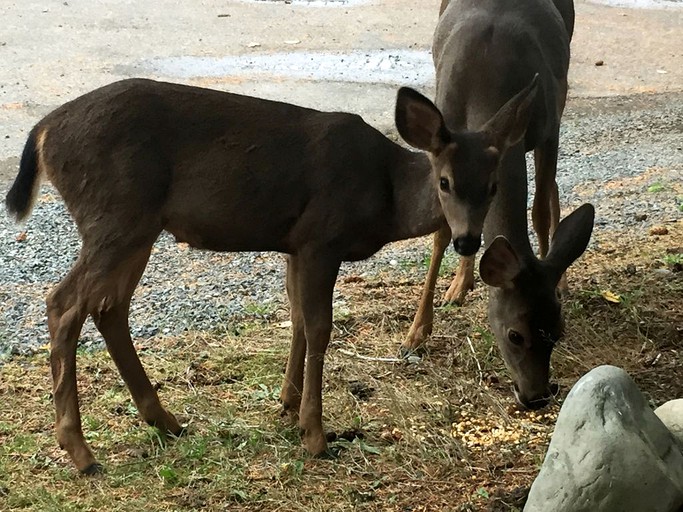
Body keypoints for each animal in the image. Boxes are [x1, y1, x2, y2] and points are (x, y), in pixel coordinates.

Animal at [4, 75, 556, 472]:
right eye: (444, 181)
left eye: (491, 185)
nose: (466, 240)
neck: (383, 196)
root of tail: (42, 132)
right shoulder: (320, 237)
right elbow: (319, 328)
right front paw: (315, 434)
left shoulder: (293, 243)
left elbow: (296, 321)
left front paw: (288, 405)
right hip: (115, 214)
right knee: (63, 303)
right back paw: (81, 452)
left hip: (137, 225)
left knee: (108, 307)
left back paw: (164, 421)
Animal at [404, 0, 580, 362]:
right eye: (444, 183)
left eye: (555, 329)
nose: (468, 242)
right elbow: (440, 232)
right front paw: (417, 331)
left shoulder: (548, 128)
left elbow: (540, 211)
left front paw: (555, 279)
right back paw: (459, 284)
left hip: (560, 93)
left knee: (551, 187)